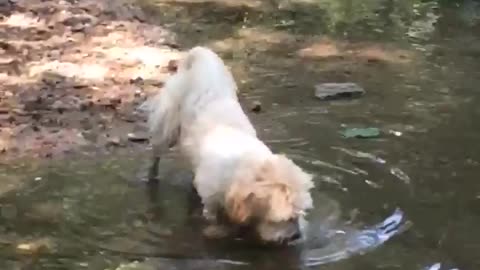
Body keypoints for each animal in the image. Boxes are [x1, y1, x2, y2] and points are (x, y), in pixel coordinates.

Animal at [139, 46, 316, 245]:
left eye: (300, 214)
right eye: (283, 219)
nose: (296, 236)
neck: (243, 164)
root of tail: (200, 54)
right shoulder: (211, 202)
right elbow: (214, 218)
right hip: (167, 125)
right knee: (156, 153)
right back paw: (152, 177)